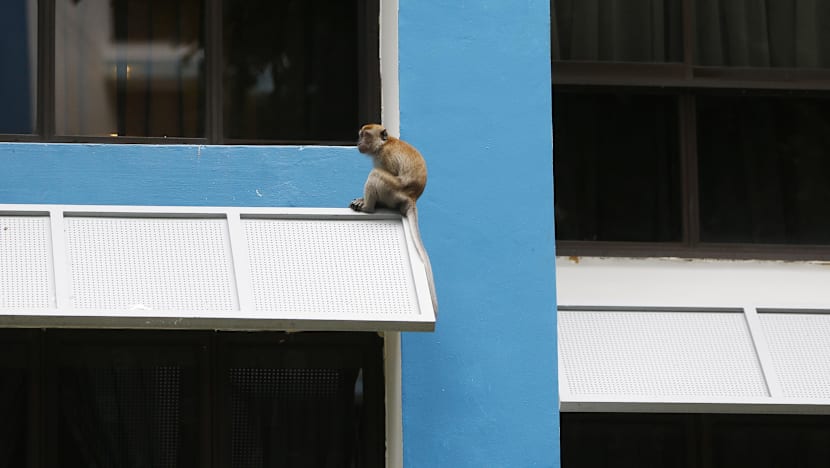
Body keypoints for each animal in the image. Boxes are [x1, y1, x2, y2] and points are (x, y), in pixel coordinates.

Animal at [350, 124, 438, 314]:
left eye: (365, 135)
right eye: (360, 135)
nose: (358, 142)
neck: (384, 144)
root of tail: (412, 198)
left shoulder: (385, 157)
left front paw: (364, 203)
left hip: (393, 191)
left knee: (376, 174)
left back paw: (368, 208)